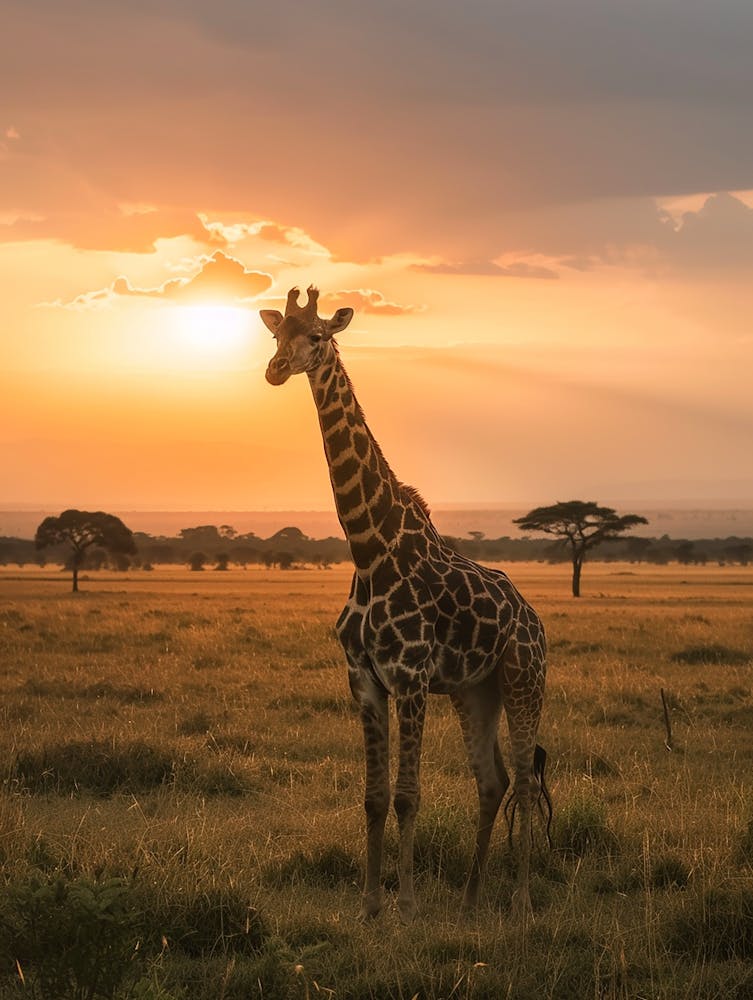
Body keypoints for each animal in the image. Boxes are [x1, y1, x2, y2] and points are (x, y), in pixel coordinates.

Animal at [261, 286, 548, 924]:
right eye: (274, 333)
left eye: (316, 336)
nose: (275, 369)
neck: (370, 549)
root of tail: (534, 619)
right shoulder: (364, 679)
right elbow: (372, 797)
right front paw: (370, 904)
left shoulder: (411, 679)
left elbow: (407, 795)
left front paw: (409, 904)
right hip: (475, 690)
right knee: (491, 781)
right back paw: (468, 901)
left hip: (523, 679)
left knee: (523, 778)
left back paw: (519, 900)